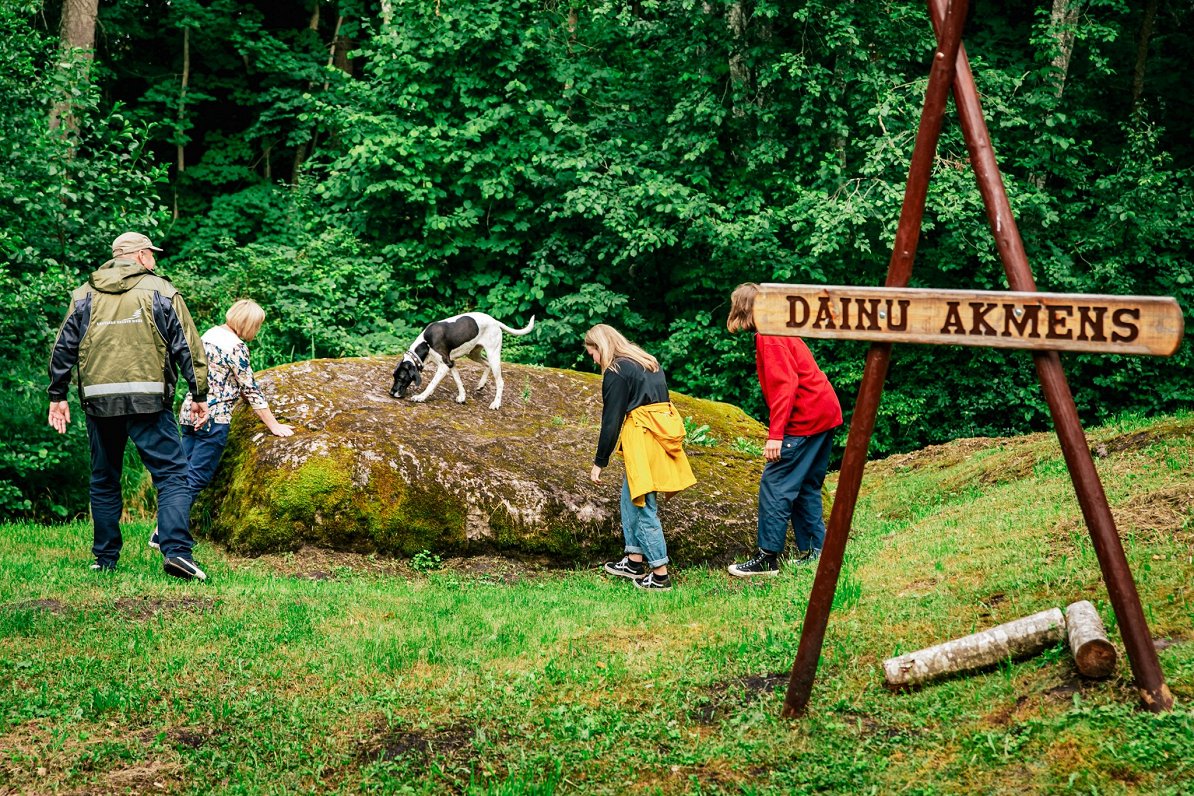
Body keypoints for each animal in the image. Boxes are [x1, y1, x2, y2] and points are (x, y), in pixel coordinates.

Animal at [389, 310, 534, 410]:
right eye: (394, 376)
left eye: (401, 378)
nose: (391, 393)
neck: (426, 343)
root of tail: (495, 321)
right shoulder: (451, 363)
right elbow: (458, 381)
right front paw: (463, 397)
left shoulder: (444, 365)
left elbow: (431, 384)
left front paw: (420, 397)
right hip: (473, 354)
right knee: (486, 365)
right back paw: (481, 384)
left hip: (493, 355)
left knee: (500, 382)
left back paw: (496, 403)